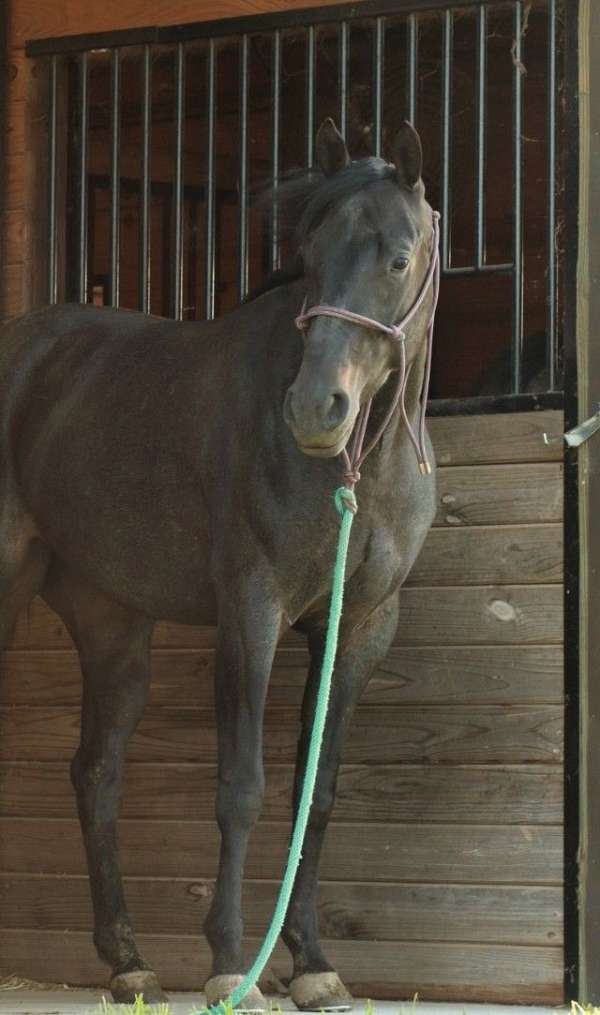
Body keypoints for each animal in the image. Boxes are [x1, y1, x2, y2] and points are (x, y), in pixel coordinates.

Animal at [1, 118, 440, 1006]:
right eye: (308, 254)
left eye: (399, 256)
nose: (315, 410)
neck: (359, 468)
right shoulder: (251, 610)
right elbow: (243, 789)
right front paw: (232, 961)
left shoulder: (361, 628)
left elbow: (319, 793)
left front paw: (312, 962)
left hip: (111, 625)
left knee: (96, 772)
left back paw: (128, 958)